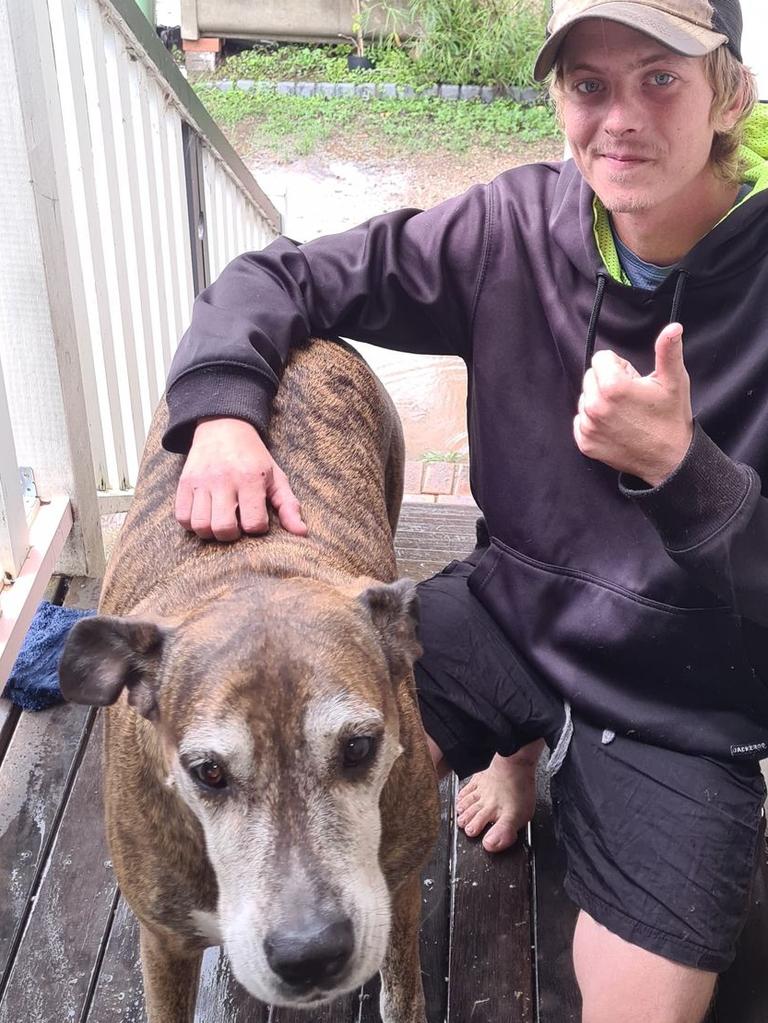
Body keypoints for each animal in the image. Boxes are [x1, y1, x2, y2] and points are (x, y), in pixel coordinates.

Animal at [61, 339, 437, 1018]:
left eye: (359, 748)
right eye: (207, 772)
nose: (310, 953)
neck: (252, 573)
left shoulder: (400, 891)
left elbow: (404, 995)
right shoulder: (164, 942)